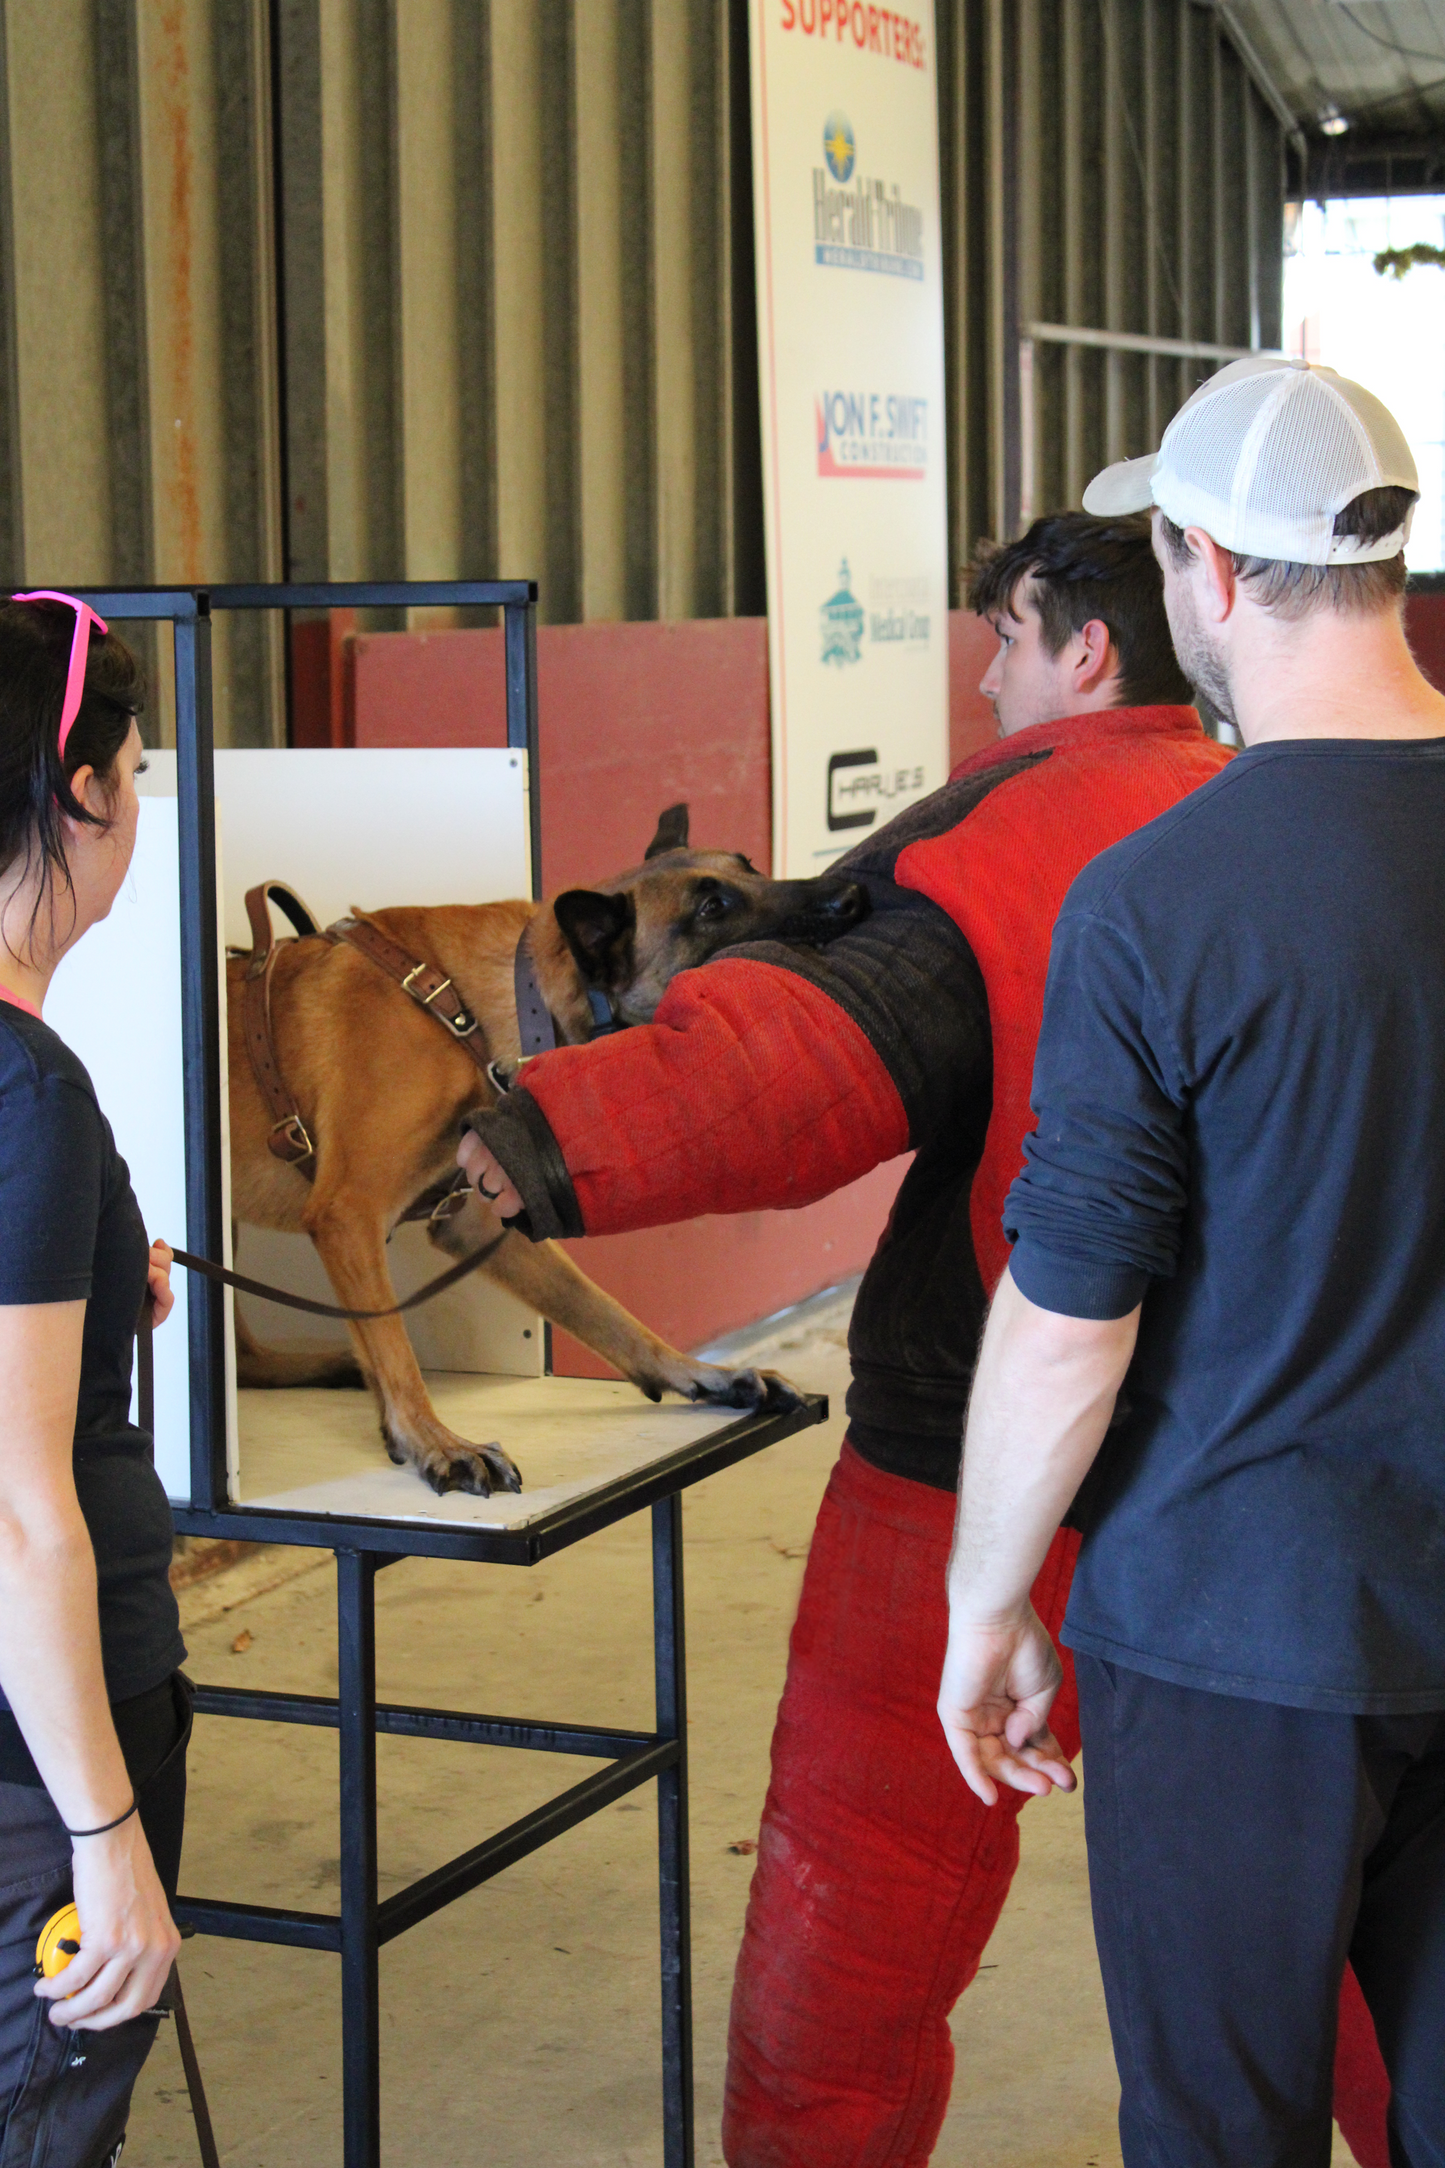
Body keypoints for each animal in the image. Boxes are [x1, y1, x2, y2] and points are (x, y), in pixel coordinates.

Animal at [226, 806, 870, 1500]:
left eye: (749, 867)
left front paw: (694, 1372)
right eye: (712, 907)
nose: (850, 896)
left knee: (245, 1360)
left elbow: (602, 1308)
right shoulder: (348, 1216)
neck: (459, 1009)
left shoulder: (476, 1222)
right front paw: (435, 1442)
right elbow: (395, 1351)